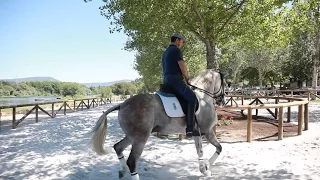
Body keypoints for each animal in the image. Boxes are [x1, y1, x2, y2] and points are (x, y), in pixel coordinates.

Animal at [88, 68, 228, 179]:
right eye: (225, 84)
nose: (222, 100)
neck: (203, 97)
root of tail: (122, 104)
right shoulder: (205, 132)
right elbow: (208, 150)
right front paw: (206, 169)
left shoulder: (200, 133)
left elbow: (216, 148)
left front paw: (207, 166)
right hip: (140, 138)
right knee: (132, 161)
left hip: (132, 137)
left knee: (118, 147)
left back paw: (122, 171)